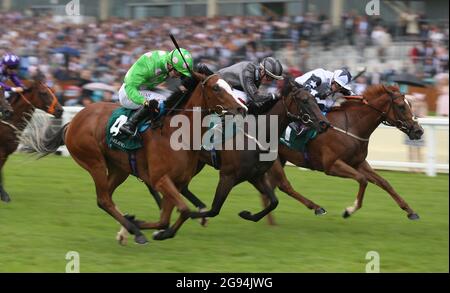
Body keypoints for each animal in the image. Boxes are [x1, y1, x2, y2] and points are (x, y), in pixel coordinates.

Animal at [22, 72, 248, 243]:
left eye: (230, 86)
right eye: (216, 88)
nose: (242, 108)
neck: (176, 132)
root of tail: (74, 121)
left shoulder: (176, 182)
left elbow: (166, 218)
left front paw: (152, 229)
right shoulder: (161, 179)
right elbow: (183, 209)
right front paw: (150, 229)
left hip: (118, 168)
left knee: (106, 198)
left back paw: (130, 226)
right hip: (94, 162)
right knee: (104, 199)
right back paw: (135, 232)